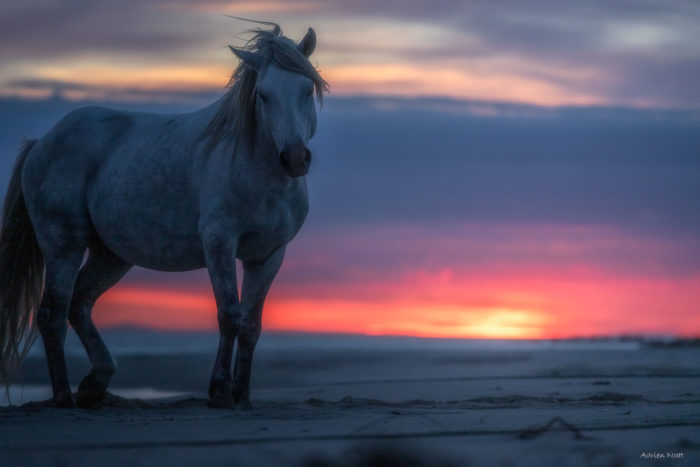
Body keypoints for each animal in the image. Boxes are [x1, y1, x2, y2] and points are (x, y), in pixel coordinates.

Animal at [0, 24, 328, 409]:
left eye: (307, 89)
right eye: (263, 95)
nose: (294, 159)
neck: (256, 170)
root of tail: (42, 142)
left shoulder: (268, 256)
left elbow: (251, 325)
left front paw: (243, 397)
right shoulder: (219, 245)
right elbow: (229, 315)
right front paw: (220, 393)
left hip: (111, 255)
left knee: (79, 304)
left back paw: (96, 382)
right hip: (63, 246)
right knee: (52, 315)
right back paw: (66, 397)